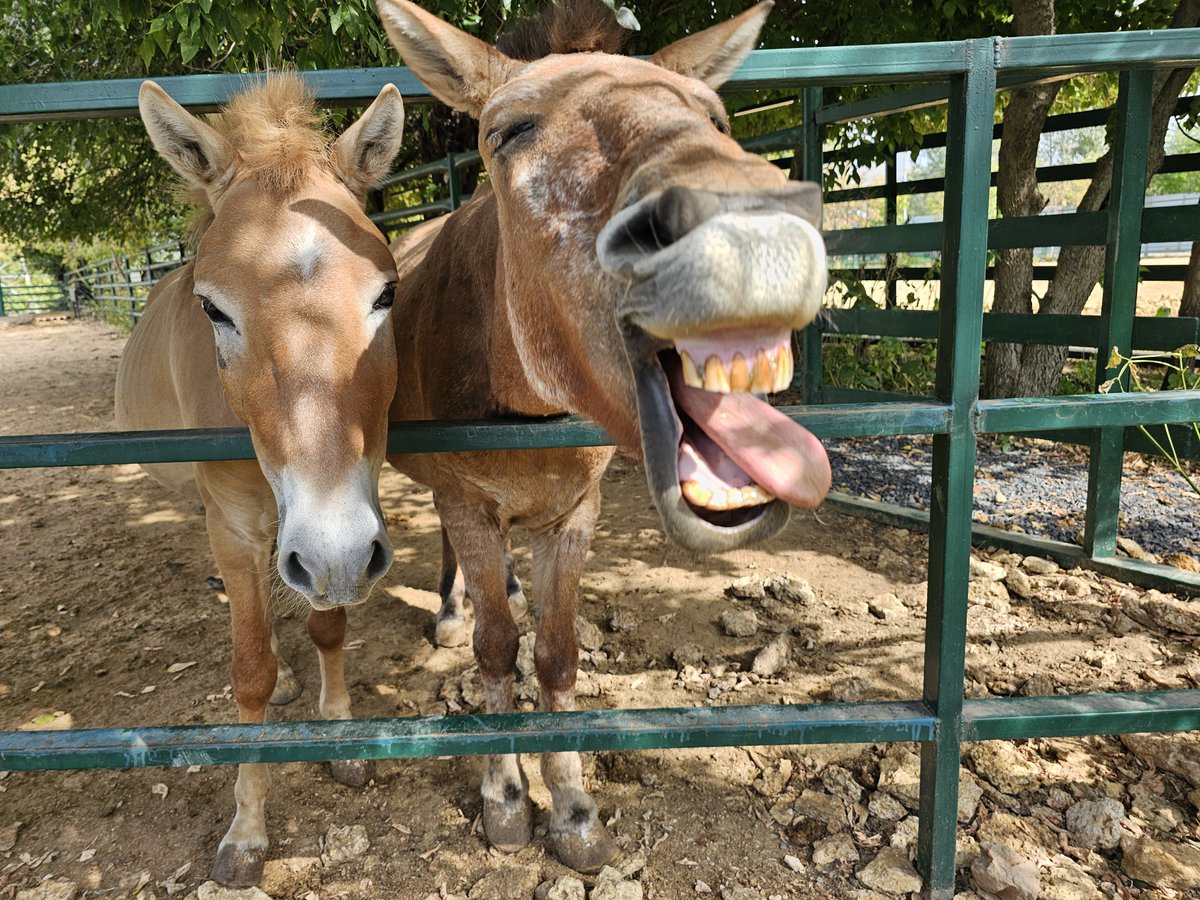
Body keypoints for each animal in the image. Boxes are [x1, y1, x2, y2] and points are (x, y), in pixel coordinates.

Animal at [114, 75, 406, 887]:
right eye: (214, 309)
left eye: (386, 295)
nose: (335, 553)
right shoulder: (239, 526)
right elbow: (249, 672)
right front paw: (246, 828)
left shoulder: (352, 508)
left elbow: (329, 623)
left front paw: (339, 736)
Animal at [376, 0, 829, 872]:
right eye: (508, 130)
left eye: (715, 116)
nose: (751, 231)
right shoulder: (469, 504)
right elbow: (495, 648)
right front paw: (505, 800)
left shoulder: (572, 514)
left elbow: (554, 655)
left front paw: (575, 809)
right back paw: (448, 609)